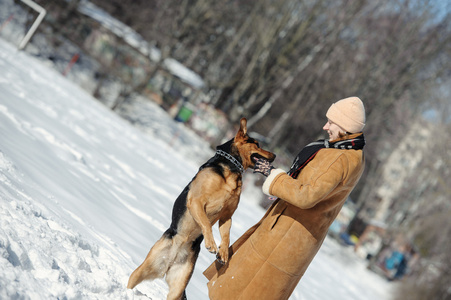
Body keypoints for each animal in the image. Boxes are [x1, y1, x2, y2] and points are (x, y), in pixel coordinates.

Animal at [127, 118, 276, 298]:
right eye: (257, 144)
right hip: (144, 269)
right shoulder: (197, 202)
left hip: (178, 286)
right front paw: (211, 243)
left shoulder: (227, 216)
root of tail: (171, 259)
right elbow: (206, 223)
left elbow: (226, 235)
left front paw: (223, 252)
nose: (275, 156)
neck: (231, 168)